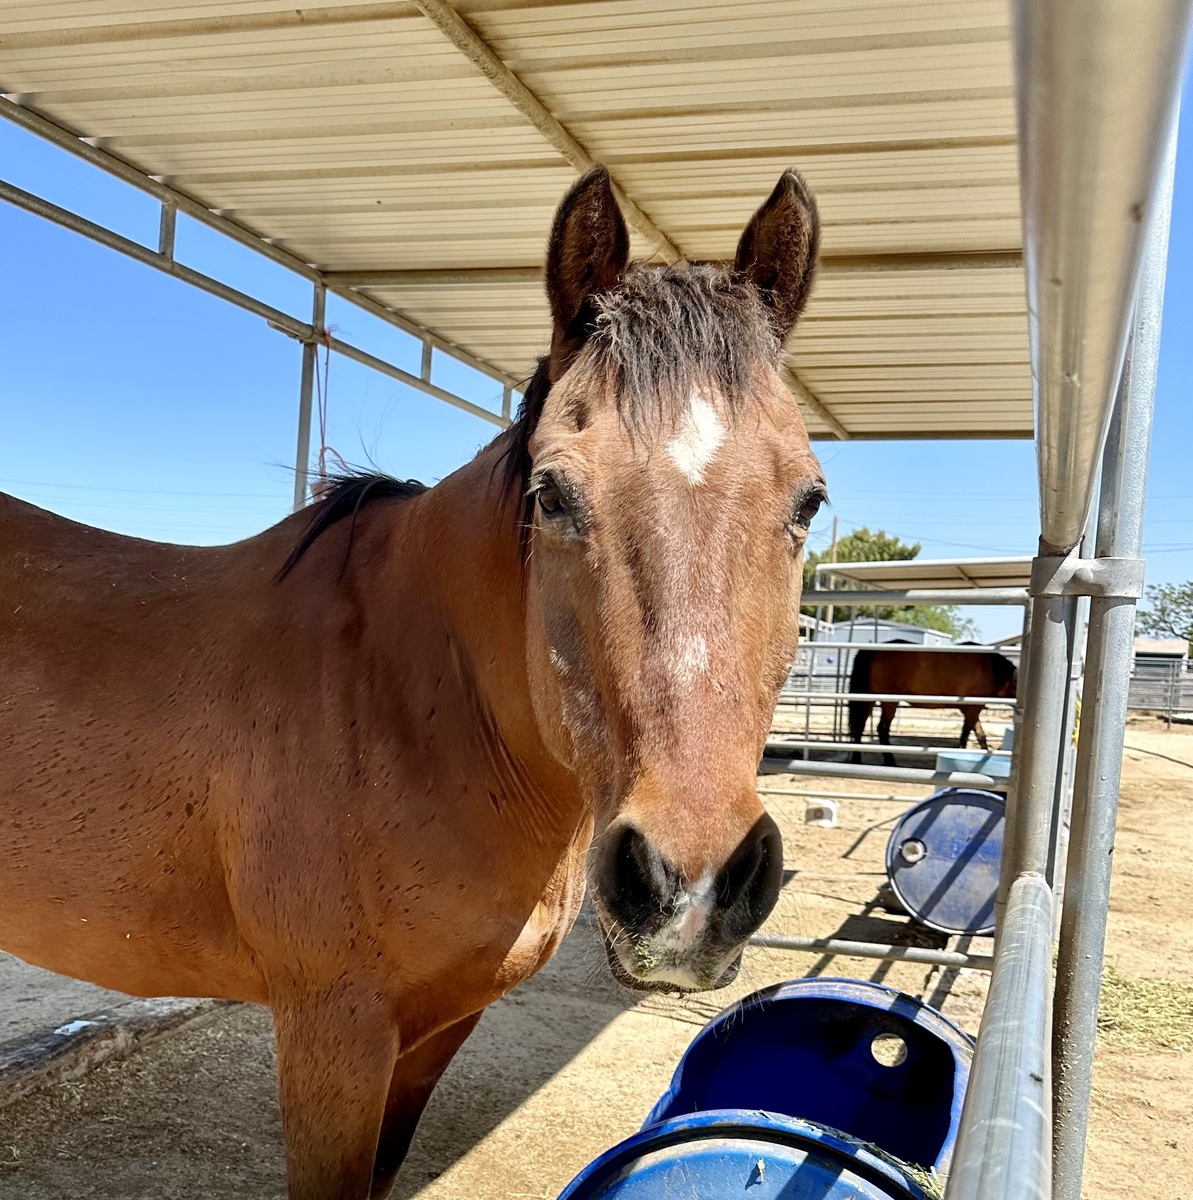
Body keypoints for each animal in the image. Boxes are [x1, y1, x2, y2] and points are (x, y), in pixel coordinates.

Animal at [0, 165, 825, 1200]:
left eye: (808, 500)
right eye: (552, 493)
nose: (691, 887)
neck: (411, 704)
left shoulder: (437, 1028)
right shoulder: (333, 1033)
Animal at [847, 643, 1017, 766]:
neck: (992, 670)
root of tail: (874, 651)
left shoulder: (971, 710)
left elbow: (981, 736)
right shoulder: (973, 708)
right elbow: (965, 735)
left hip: (868, 699)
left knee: (860, 727)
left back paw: (857, 759)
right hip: (890, 701)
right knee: (882, 729)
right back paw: (890, 762)